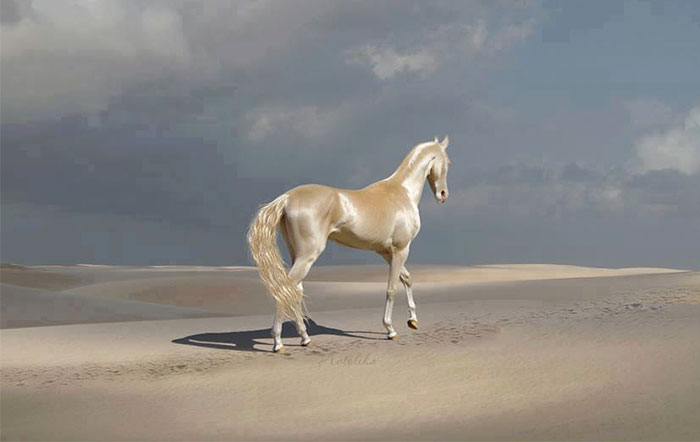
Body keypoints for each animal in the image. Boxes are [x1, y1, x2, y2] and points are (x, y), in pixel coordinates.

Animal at [247, 136, 451, 352]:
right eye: (447, 163)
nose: (443, 194)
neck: (402, 192)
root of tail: (287, 198)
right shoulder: (401, 249)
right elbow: (392, 288)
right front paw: (390, 330)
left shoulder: (387, 252)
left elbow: (407, 279)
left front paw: (413, 320)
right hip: (307, 256)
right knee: (285, 290)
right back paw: (278, 342)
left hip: (298, 255)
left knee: (294, 291)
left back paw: (304, 338)